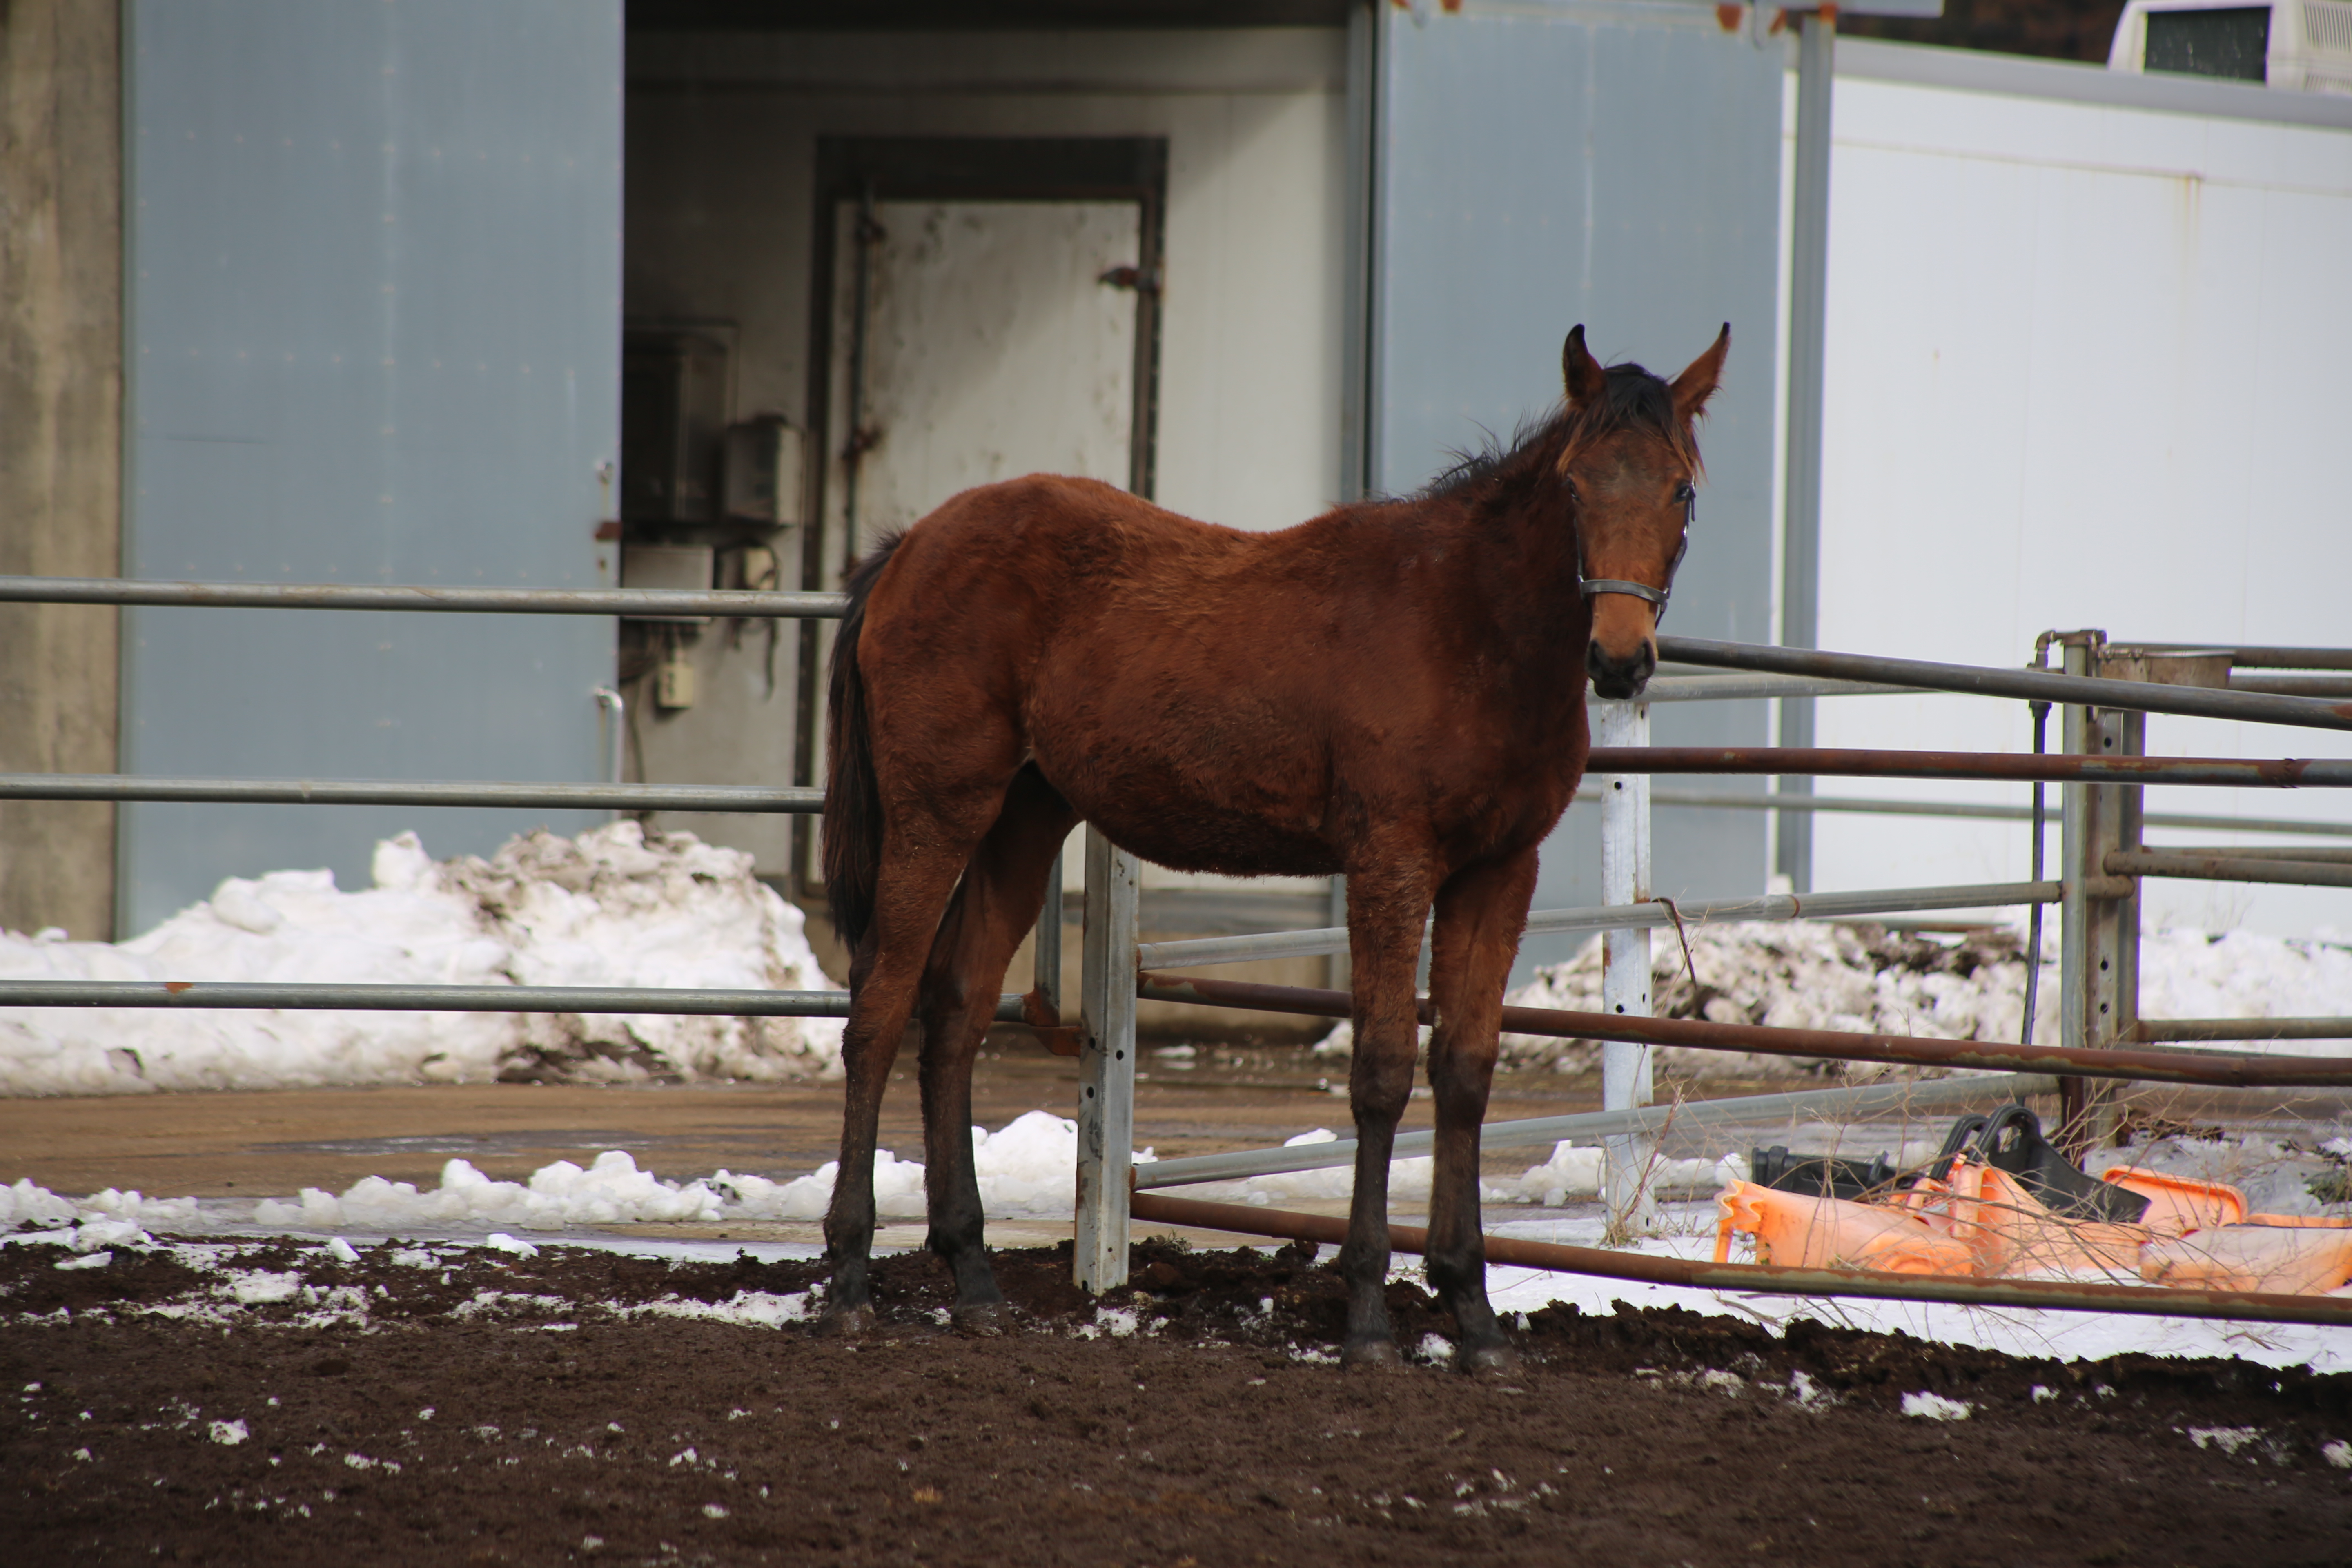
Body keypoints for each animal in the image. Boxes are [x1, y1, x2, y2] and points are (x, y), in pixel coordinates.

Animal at [818, 324, 1722, 1363]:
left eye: (1680, 488)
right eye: (1575, 485)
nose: (1618, 660)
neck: (1468, 624)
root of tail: (910, 548)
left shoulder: (1497, 873)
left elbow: (1462, 1072)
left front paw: (1472, 1309)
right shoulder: (1389, 862)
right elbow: (1380, 1071)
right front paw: (1367, 1314)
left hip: (1021, 820)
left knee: (956, 1018)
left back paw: (971, 1272)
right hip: (937, 814)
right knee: (880, 1013)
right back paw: (847, 1274)